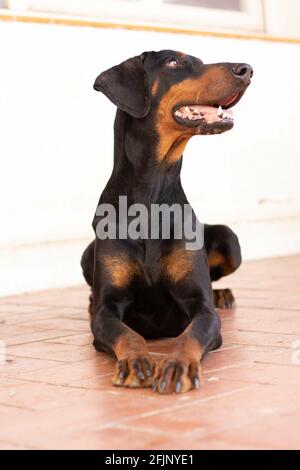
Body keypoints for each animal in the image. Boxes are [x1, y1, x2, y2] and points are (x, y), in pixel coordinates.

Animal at [81, 48, 253, 392]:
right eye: (174, 62)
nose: (247, 69)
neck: (152, 190)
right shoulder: (108, 312)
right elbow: (127, 333)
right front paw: (135, 361)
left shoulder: (201, 308)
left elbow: (192, 333)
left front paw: (178, 366)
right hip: (86, 254)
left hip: (230, 240)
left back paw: (222, 295)